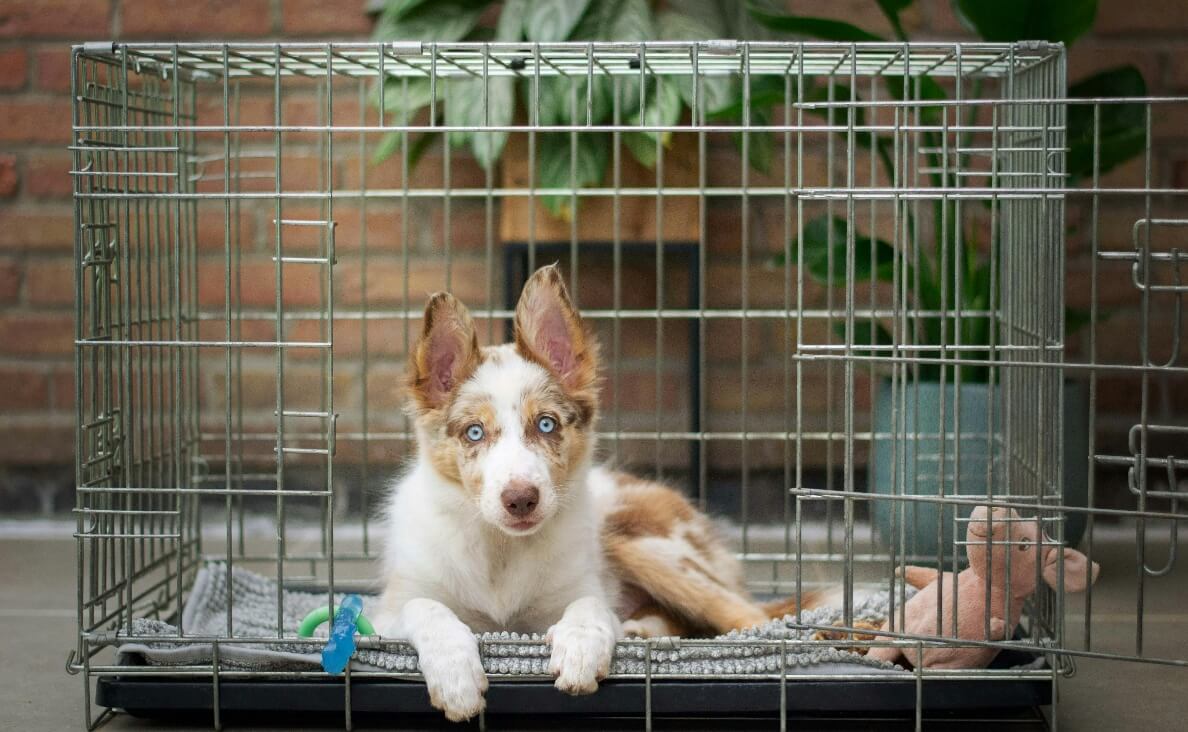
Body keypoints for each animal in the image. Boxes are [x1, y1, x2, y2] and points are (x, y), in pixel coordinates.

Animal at [373, 264, 817, 722]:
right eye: (474, 432)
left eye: (546, 424)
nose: (521, 499)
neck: (501, 551)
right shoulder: (388, 611)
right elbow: (427, 608)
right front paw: (455, 675)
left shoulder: (582, 587)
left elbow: (589, 606)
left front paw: (579, 649)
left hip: (640, 541)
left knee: (750, 617)